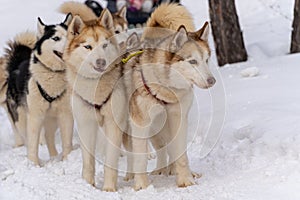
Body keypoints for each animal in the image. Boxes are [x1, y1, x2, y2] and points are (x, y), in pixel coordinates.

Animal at [1, 13, 74, 164]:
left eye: (70, 35)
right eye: (56, 38)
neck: (54, 74)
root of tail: (16, 66)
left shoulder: (65, 114)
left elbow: (67, 142)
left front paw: (66, 158)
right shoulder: (35, 116)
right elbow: (33, 142)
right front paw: (34, 163)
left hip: (52, 119)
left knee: (48, 136)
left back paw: (54, 157)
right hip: (22, 119)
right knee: (27, 137)